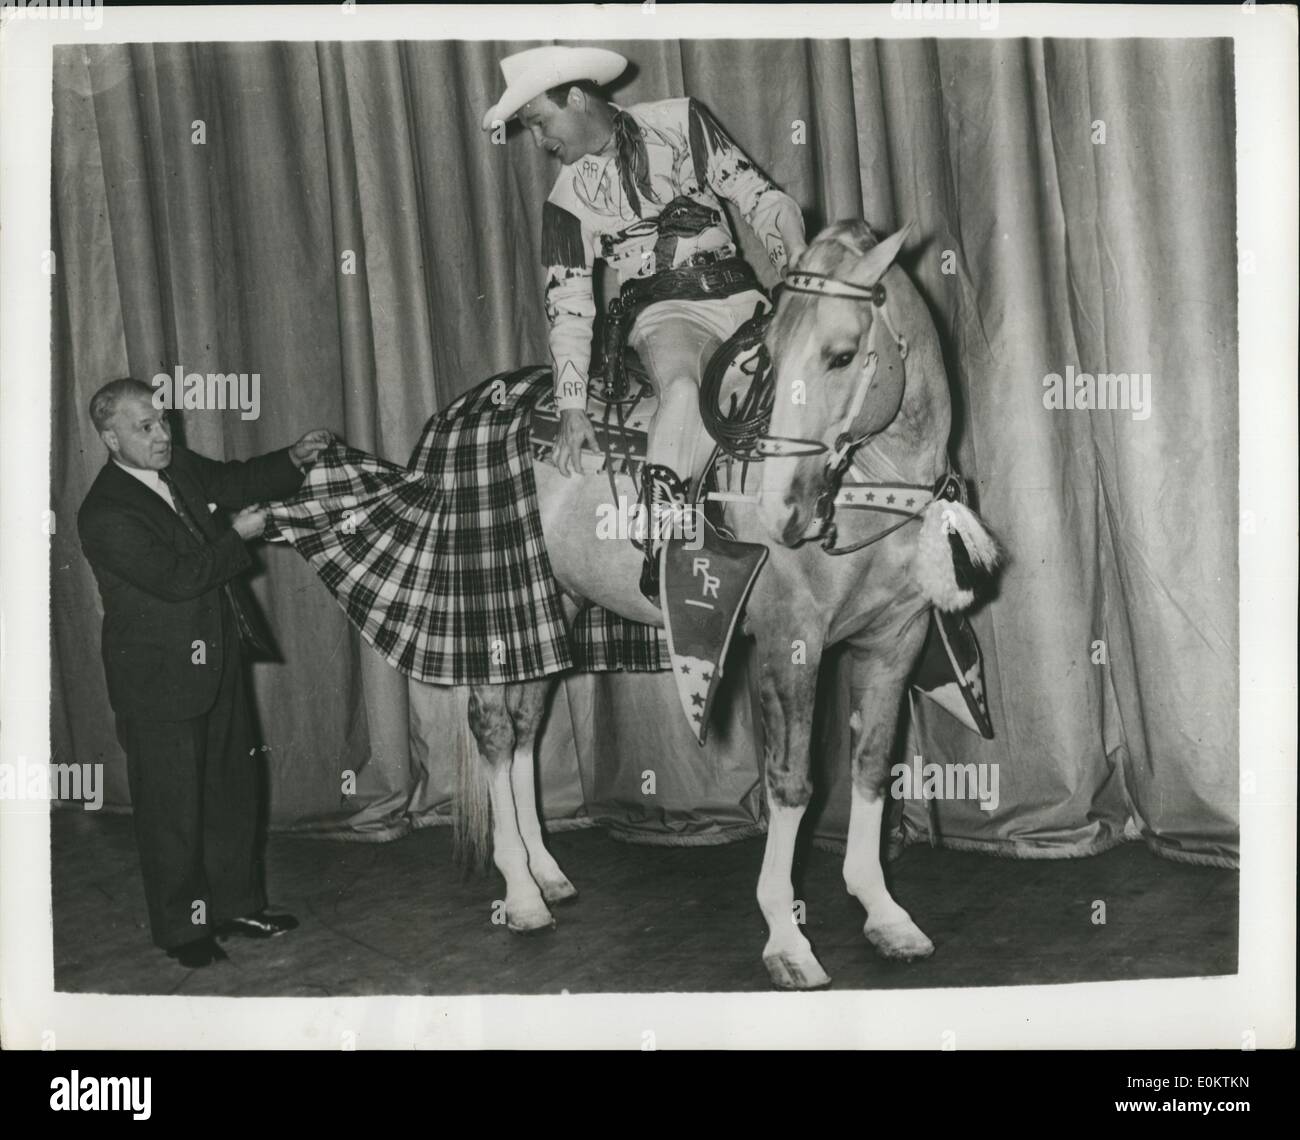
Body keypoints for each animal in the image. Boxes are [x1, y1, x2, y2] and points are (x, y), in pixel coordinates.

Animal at [457, 222, 993, 987]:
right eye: (771, 359)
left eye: (840, 355)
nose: (781, 511)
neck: (868, 489)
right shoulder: (790, 644)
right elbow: (792, 781)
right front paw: (787, 940)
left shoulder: (896, 639)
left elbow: (869, 766)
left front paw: (885, 914)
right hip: (498, 605)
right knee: (496, 730)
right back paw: (522, 895)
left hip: (554, 604)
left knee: (528, 723)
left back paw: (546, 874)